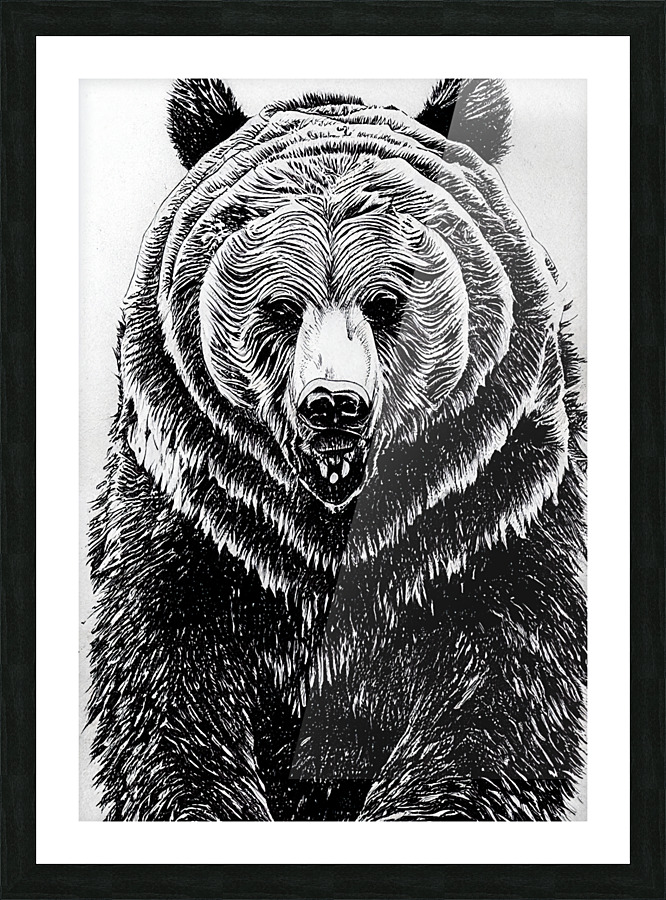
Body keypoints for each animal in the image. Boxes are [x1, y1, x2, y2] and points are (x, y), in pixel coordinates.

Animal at [87, 78, 586, 822]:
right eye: (278, 306)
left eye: (385, 301)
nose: (334, 405)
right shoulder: (199, 522)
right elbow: (168, 696)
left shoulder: (493, 512)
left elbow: (493, 702)